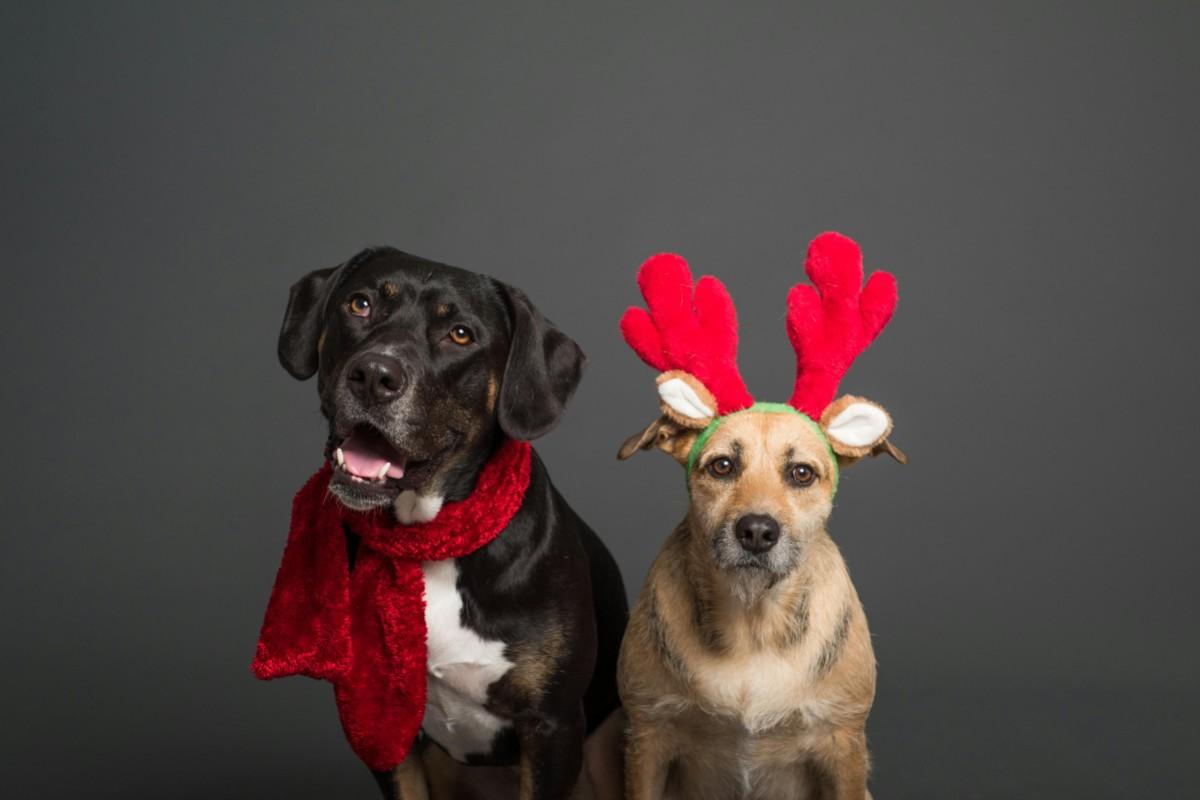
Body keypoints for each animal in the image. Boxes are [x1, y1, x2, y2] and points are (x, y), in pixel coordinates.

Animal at [273, 247, 628, 796]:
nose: (374, 375)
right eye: (360, 303)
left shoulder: (553, 727)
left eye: (460, 334)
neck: (430, 538)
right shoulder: (382, 724)